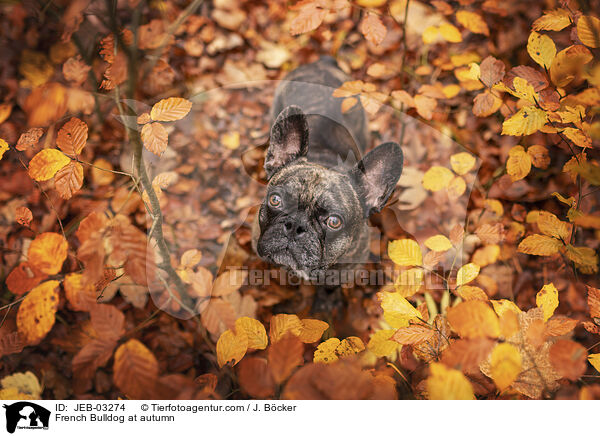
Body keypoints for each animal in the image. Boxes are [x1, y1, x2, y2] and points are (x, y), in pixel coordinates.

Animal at [250, 55, 404, 306]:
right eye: (275, 200)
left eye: (334, 222)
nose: (295, 226)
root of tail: (322, 62)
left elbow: (330, 288)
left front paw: (325, 303)